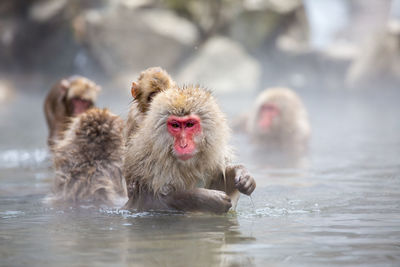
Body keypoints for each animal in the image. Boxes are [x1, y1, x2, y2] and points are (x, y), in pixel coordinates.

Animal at [124, 85, 256, 215]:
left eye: (189, 124)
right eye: (175, 125)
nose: (183, 144)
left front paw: (241, 173)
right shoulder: (150, 169)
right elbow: (151, 202)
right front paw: (205, 198)